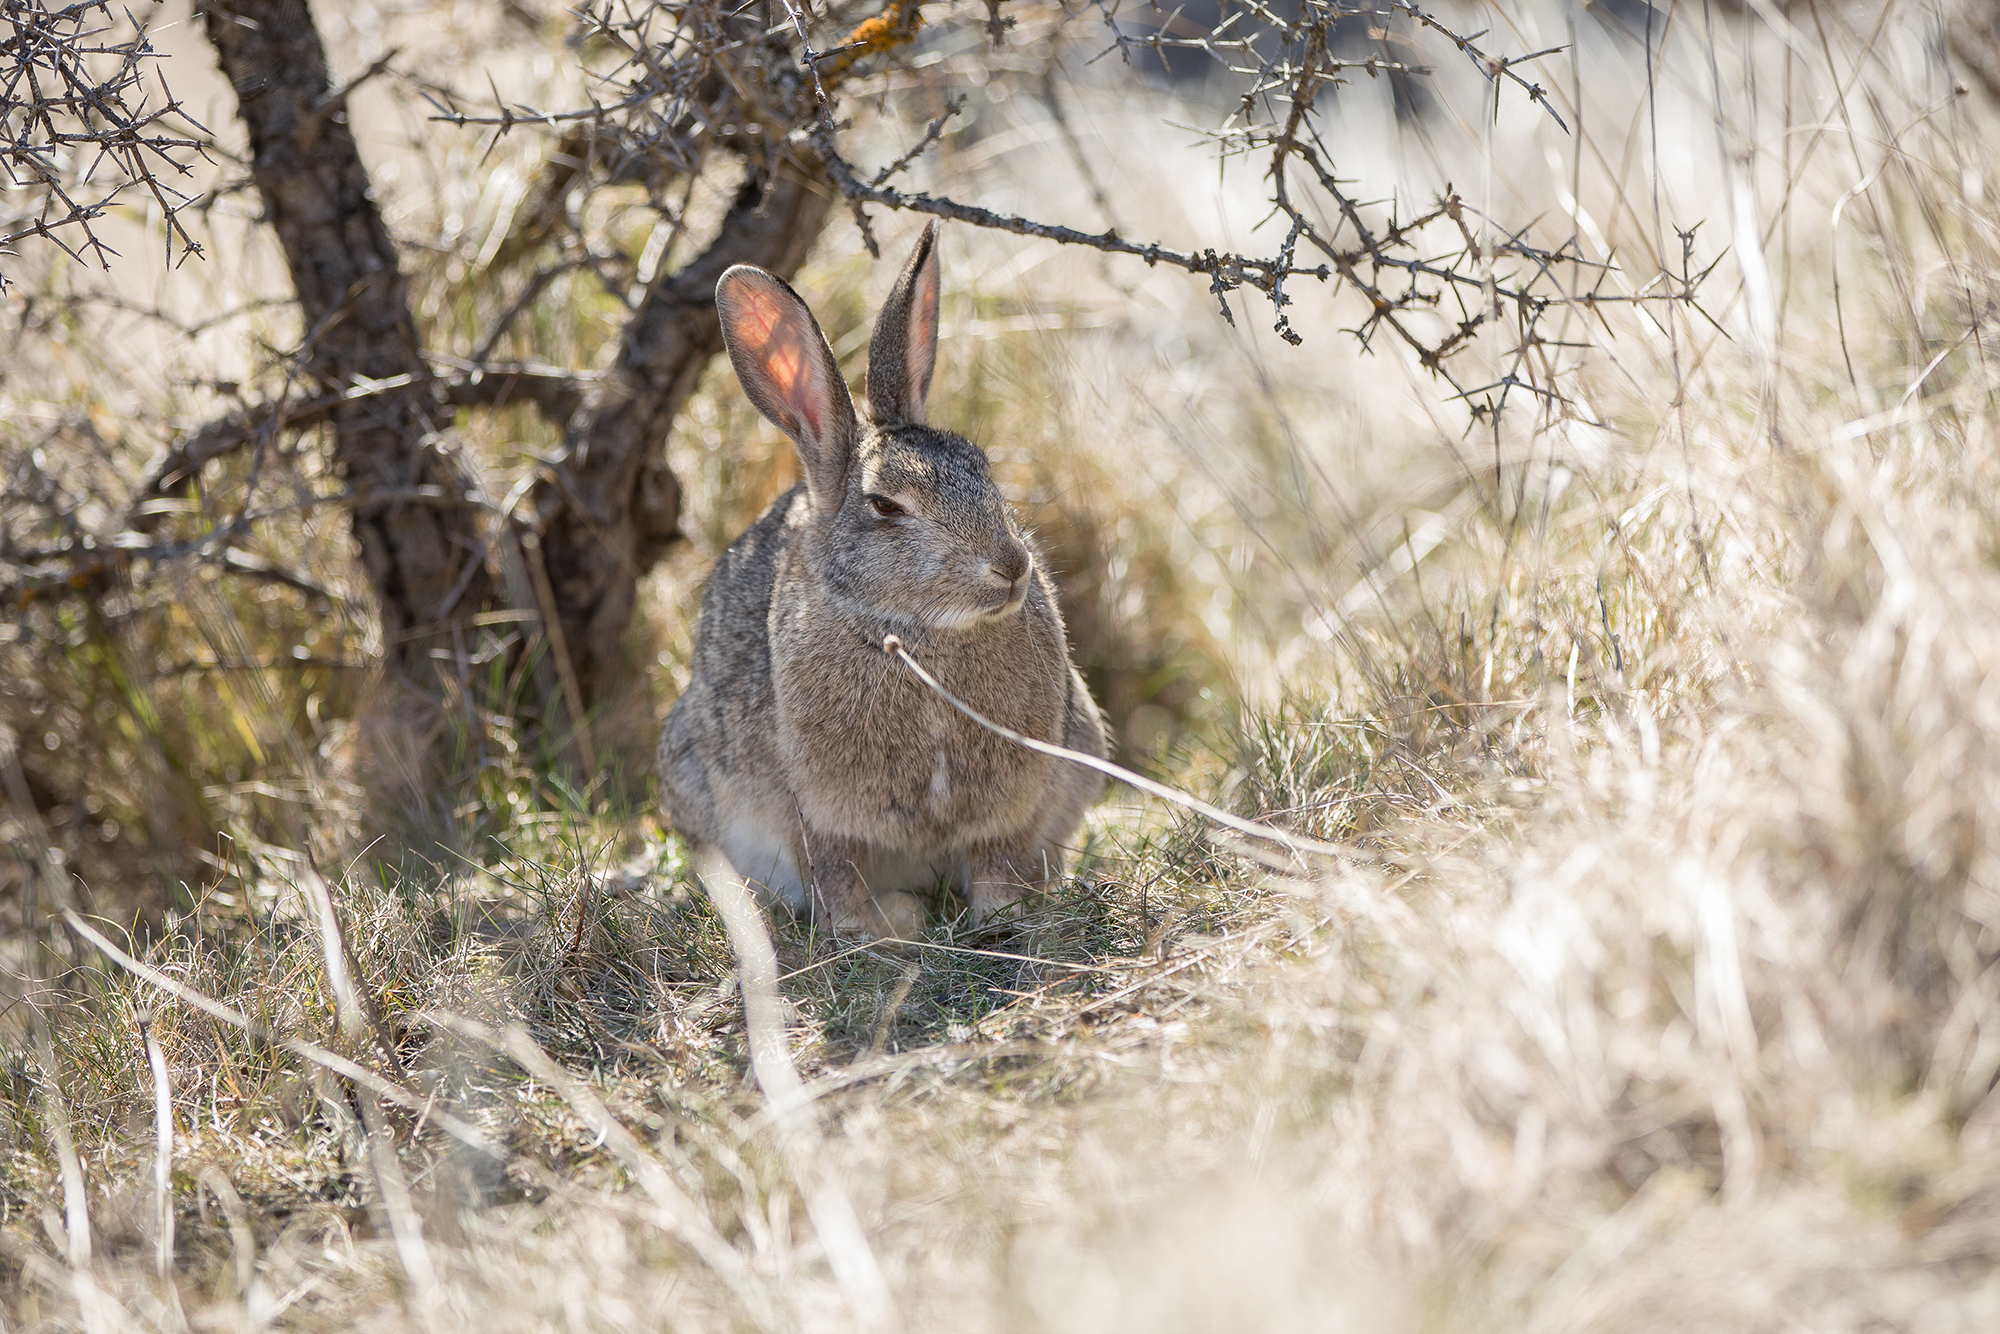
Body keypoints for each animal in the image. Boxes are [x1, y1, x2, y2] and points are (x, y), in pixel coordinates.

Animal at [656, 222, 1104, 940]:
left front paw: (1005, 915)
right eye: (886, 506)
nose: (1012, 568)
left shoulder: (1017, 797)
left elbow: (998, 860)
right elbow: (836, 870)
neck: (915, 634)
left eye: (982, 466)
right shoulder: (818, 809)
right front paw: (870, 931)